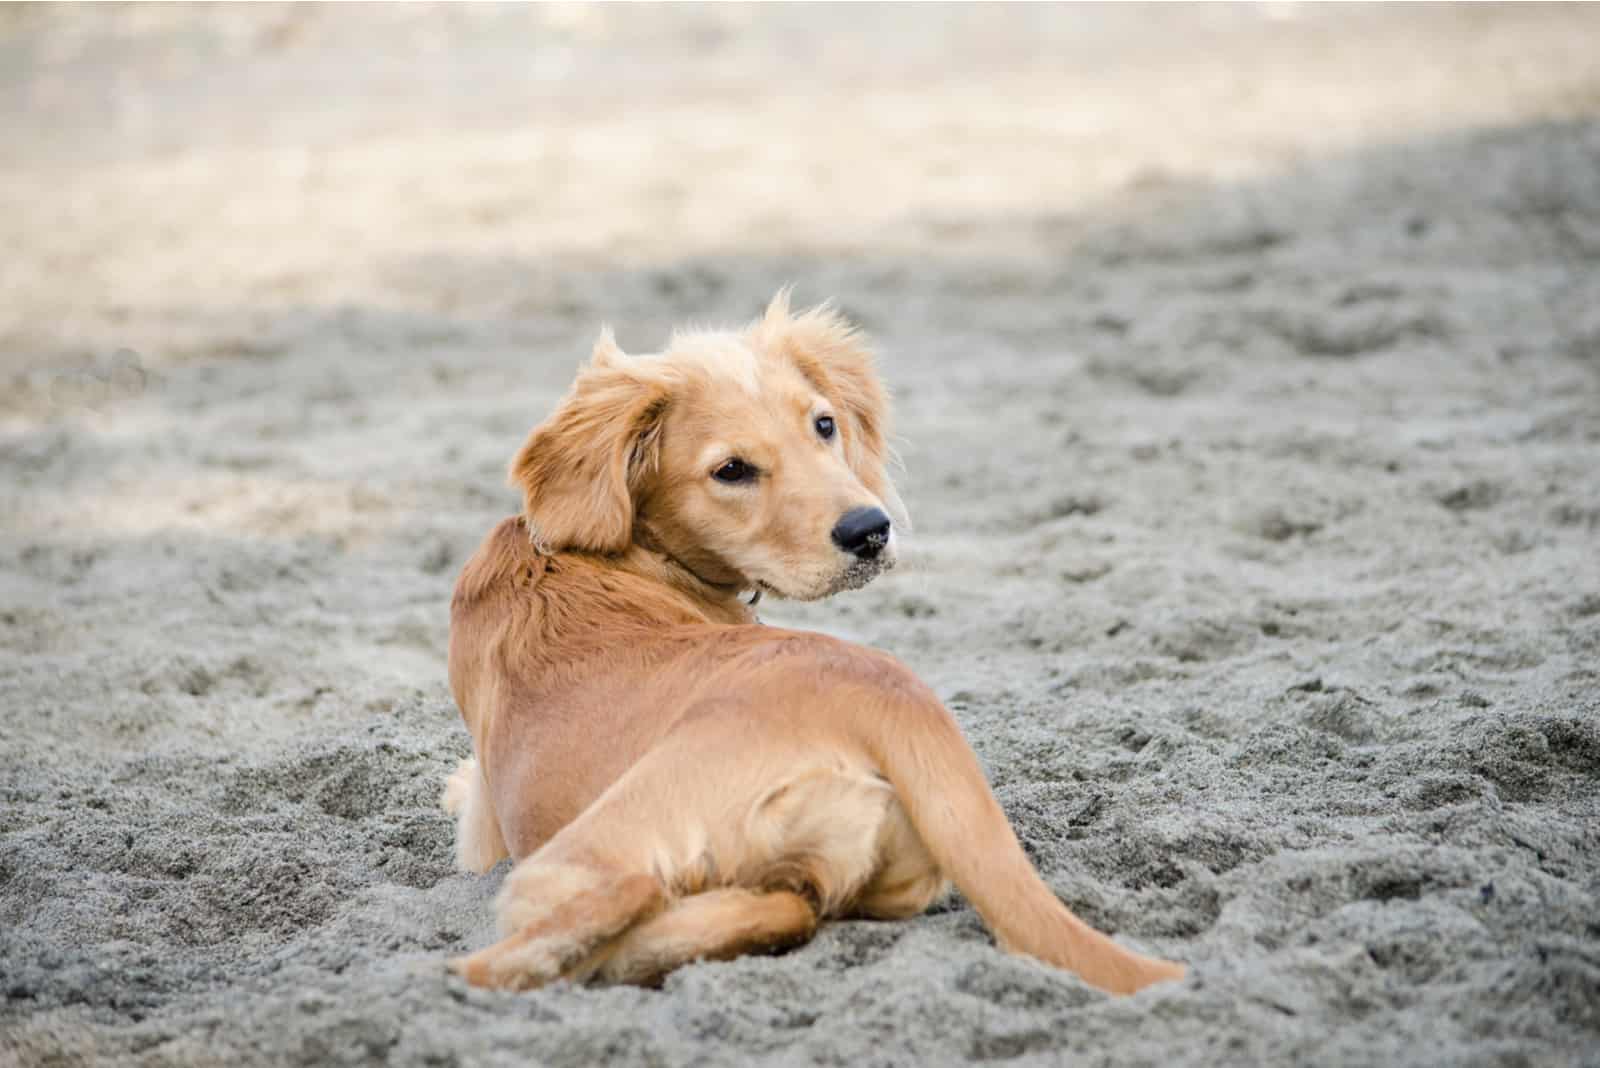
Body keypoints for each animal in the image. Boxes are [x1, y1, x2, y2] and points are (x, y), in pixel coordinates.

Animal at [444, 289, 1184, 991]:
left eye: (823, 424)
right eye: (732, 470)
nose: (871, 531)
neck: (599, 551)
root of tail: (890, 700)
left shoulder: (482, 824)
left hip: (580, 852)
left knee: (610, 901)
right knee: (784, 905)